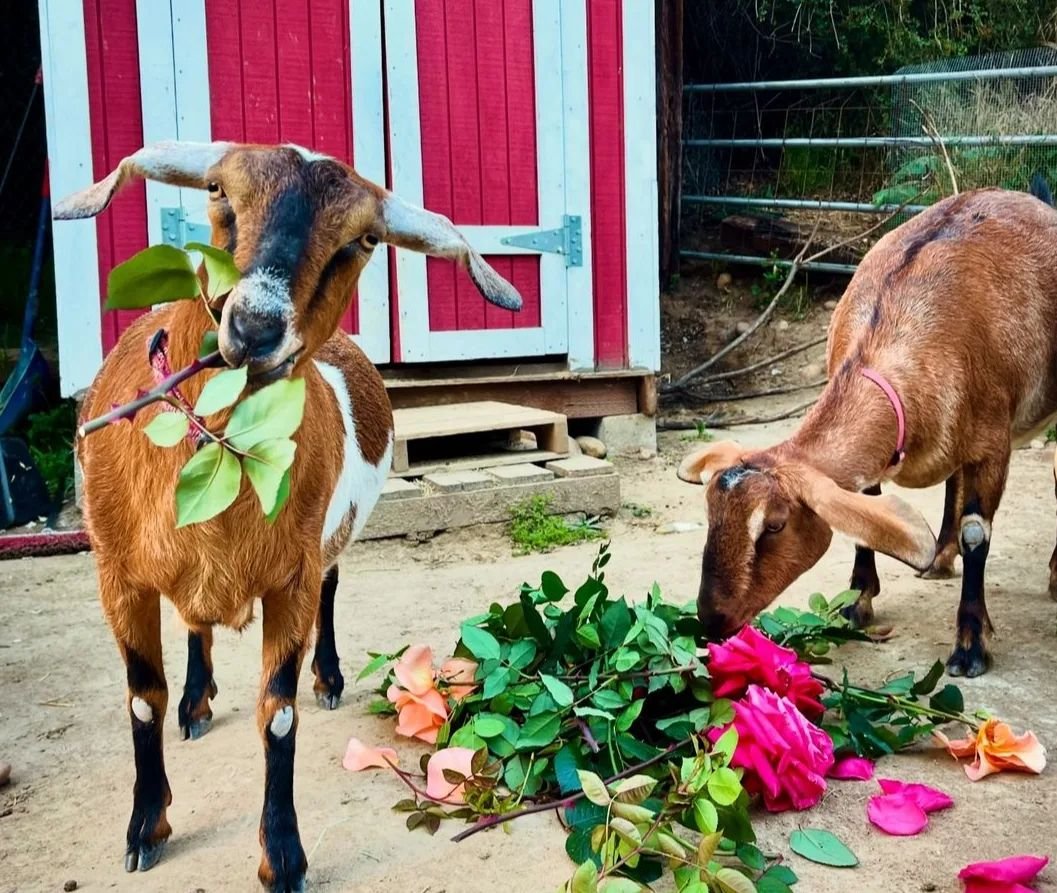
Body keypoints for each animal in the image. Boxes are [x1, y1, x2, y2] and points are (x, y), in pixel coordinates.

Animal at [680, 184, 1057, 680]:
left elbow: (977, 533)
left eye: (775, 525)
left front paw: (971, 645)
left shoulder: (993, 445)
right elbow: (865, 514)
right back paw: (939, 558)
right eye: (709, 515)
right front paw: (856, 604)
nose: (712, 619)